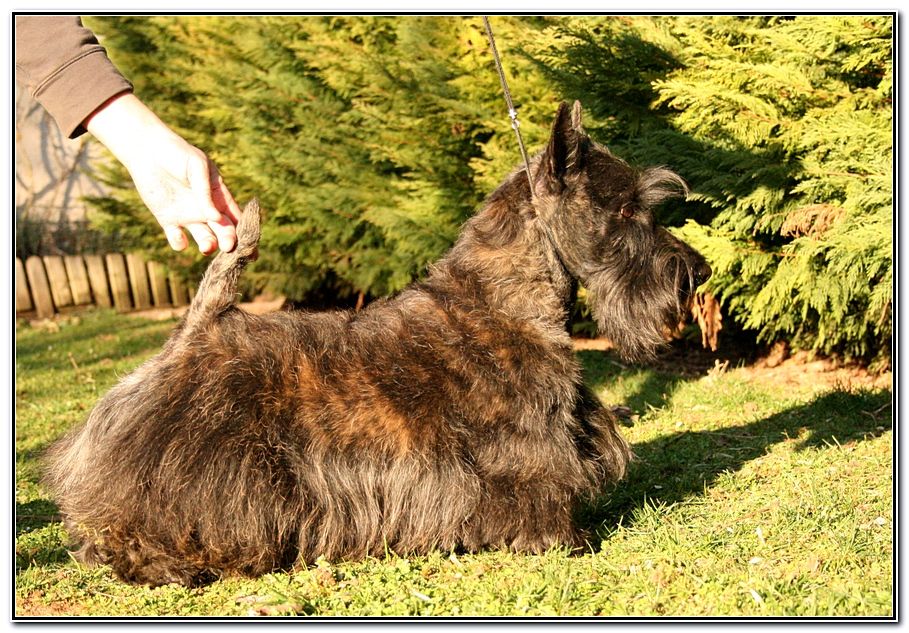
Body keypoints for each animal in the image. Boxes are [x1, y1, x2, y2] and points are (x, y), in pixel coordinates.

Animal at [44, 101, 708, 584]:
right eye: (625, 210)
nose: (697, 272)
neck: (501, 303)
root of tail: (199, 327)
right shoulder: (527, 458)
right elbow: (539, 498)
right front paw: (563, 539)